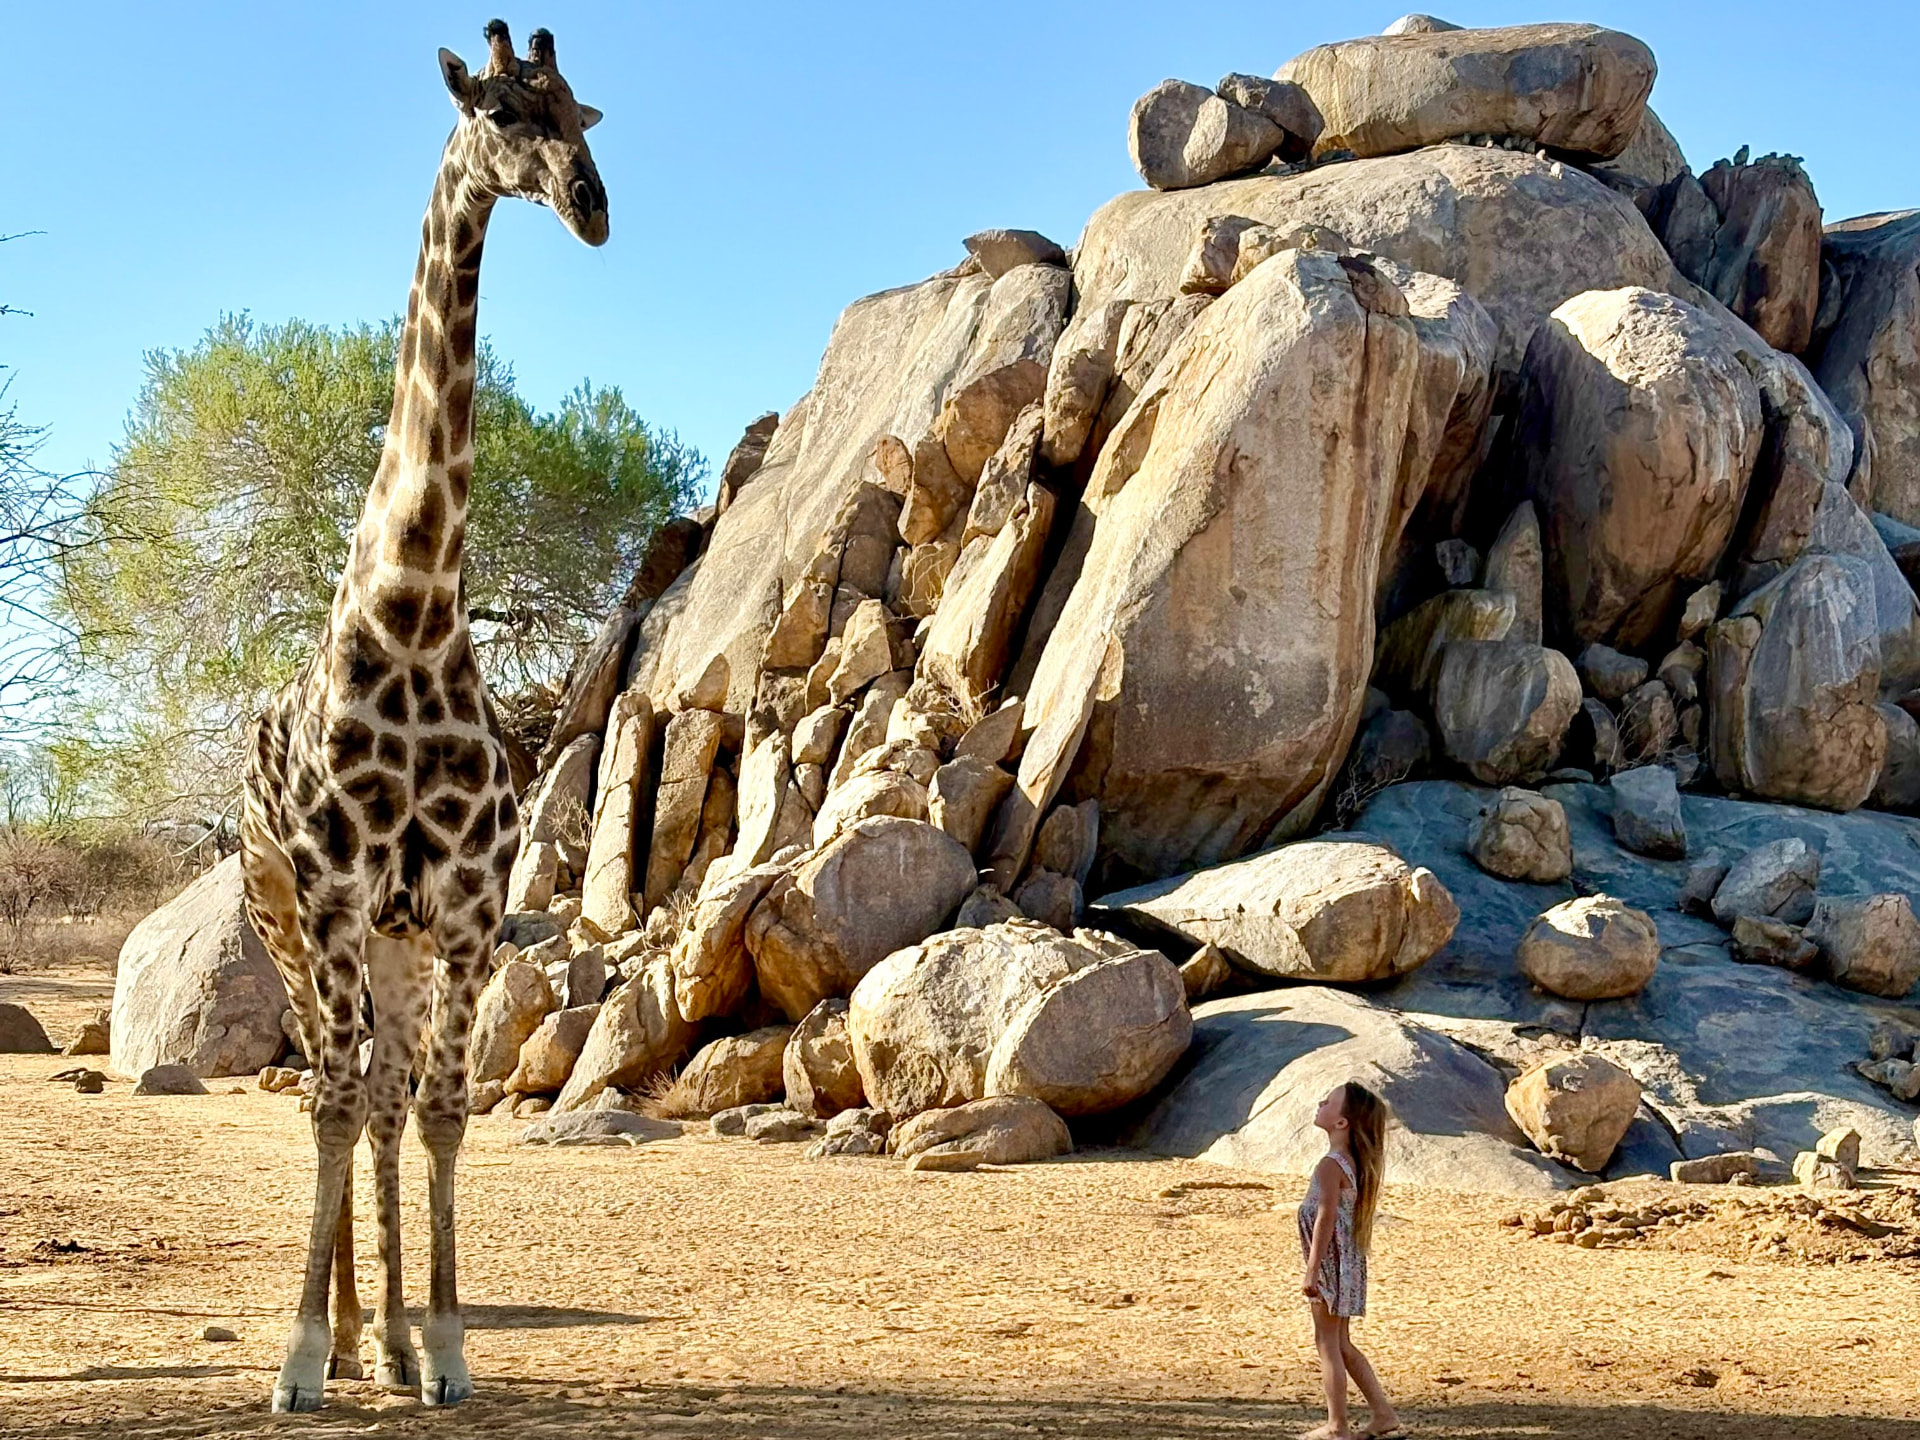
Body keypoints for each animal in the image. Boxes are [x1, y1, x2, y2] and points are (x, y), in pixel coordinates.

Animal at [239, 19, 607, 1412]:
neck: (411, 613)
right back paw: (343, 1343)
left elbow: (440, 1111)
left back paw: (385, 1343)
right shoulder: (341, 900)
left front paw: (443, 1347)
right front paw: (297, 1360)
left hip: (388, 949)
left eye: (583, 113)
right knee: (330, 1091)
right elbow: (333, 1109)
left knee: (389, 1099)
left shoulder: (459, 911)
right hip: (286, 934)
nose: (591, 206)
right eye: (499, 109)